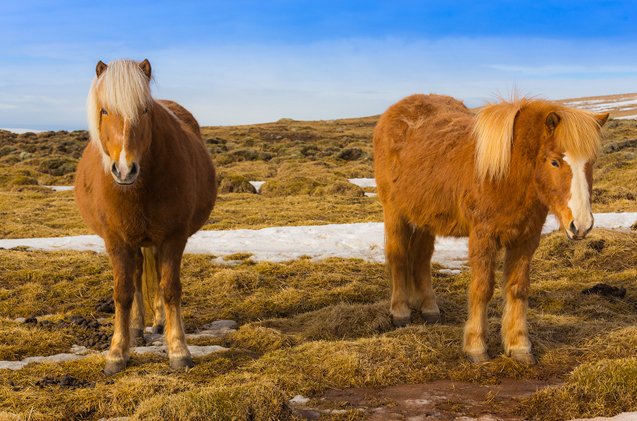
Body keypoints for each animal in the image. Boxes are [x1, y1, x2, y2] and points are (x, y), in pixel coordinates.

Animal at [75, 59, 216, 374]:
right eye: (105, 110)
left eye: (145, 110)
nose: (125, 169)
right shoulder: (116, 241)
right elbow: (123, 292)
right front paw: (117, 352)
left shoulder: (173, 238)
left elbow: (170, 289)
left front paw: (178, 349)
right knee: (138, 277)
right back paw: (137, 329)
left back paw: (159, 323)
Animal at [372, 93, 608, 362]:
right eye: (555, 162)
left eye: (591, 162)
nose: (581, 224)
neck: (506, 174)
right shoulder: (483, 237)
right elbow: (482, 289)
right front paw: (476, 348)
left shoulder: (526, 239)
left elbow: (518, 288)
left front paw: (519, 346)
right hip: (395, 213)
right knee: (398, 257)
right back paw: (400, 312)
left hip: (424, 220)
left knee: (421, 259)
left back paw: (430, 309)